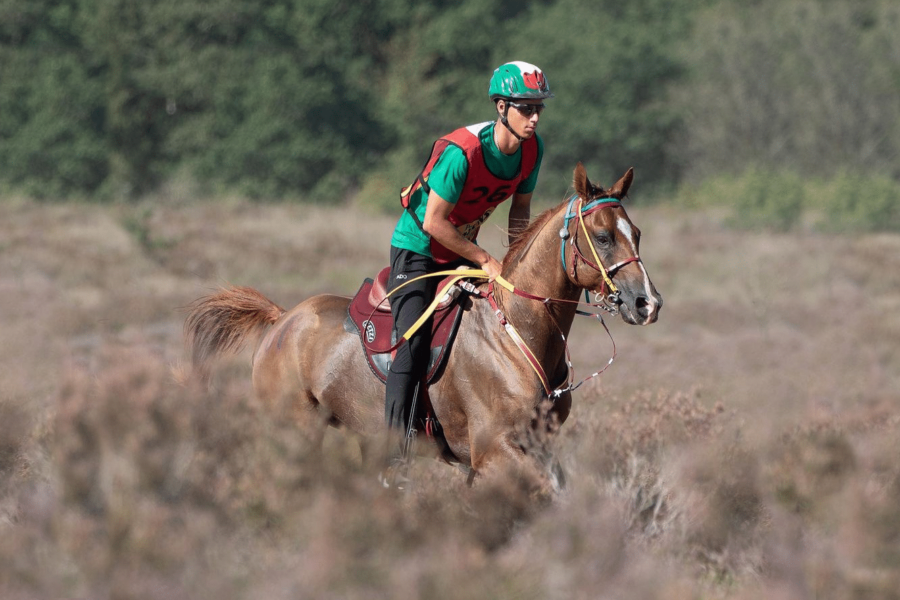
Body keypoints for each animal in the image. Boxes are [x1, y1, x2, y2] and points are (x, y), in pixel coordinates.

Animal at [185, 163, 660, 488]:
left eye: (636, 232)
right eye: (603, 237)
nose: (647, 302)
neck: (516, 333)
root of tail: (281, 320)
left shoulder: (531, 448)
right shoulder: (494, 451)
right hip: (298, 430)